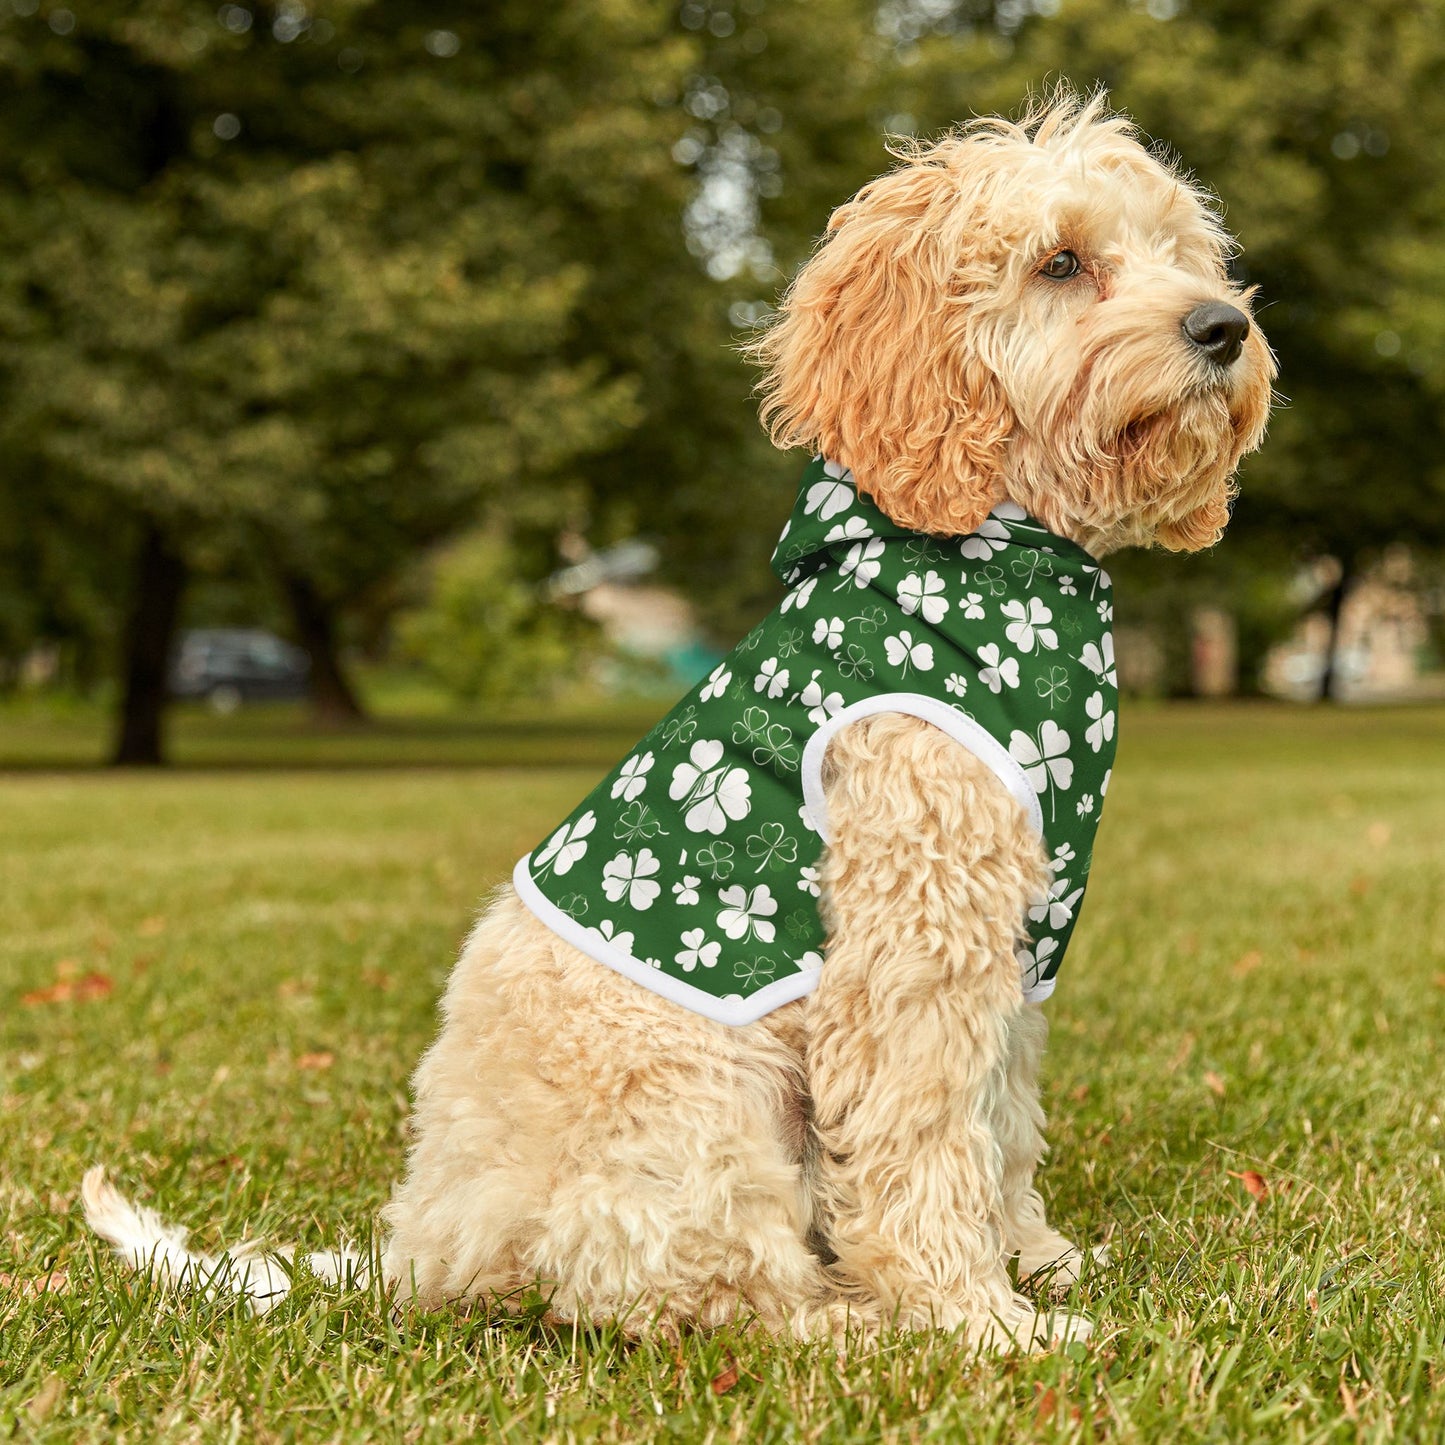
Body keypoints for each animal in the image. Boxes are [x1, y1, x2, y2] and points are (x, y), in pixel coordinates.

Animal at [84, 96, 1271, 1346]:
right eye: (1060, 262)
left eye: (1180, 253)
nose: (1222, 326)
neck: (986, 556)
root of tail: (422, 1249)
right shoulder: (914, 939)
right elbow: (924, 1138)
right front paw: (976, 1318)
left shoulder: (1016, 944)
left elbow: (1000, 1120)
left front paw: (1034, 1259)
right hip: (703, 1105)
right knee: (700, 1288)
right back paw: (849, 1319)